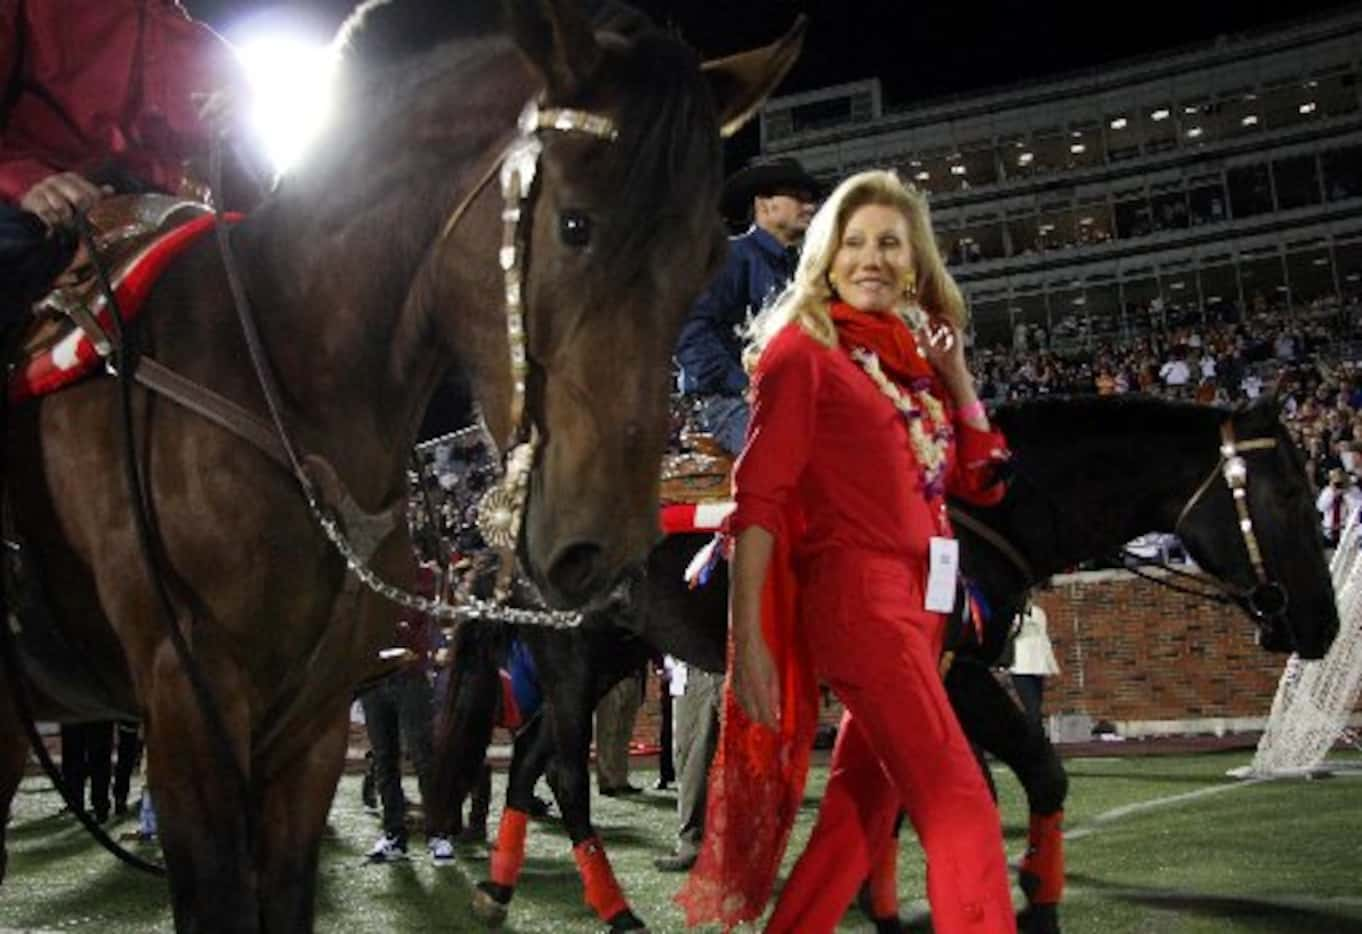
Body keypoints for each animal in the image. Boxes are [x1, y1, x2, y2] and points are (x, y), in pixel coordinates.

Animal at [0, 3, 800, 931]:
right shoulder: (189, 715)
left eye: (706, 255)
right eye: (575, 224)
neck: (275, 372)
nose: (599, 551)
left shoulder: (308, 736)